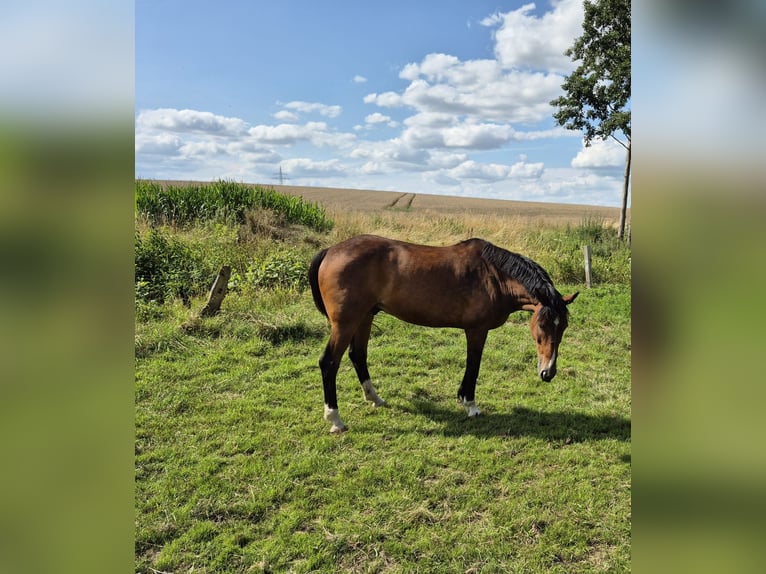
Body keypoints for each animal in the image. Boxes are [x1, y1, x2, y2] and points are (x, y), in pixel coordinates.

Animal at [308, 234, 578, 433]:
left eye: (563, 326)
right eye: (543, 325)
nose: (548, 373)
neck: (493, 276)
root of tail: (330, 251)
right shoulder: (476, 330)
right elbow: (473, 365)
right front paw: (470, 404)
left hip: (365, 316)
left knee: (358, 355)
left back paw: (375, 398)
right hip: (346, 323)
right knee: (329, 363)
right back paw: (335, 419)